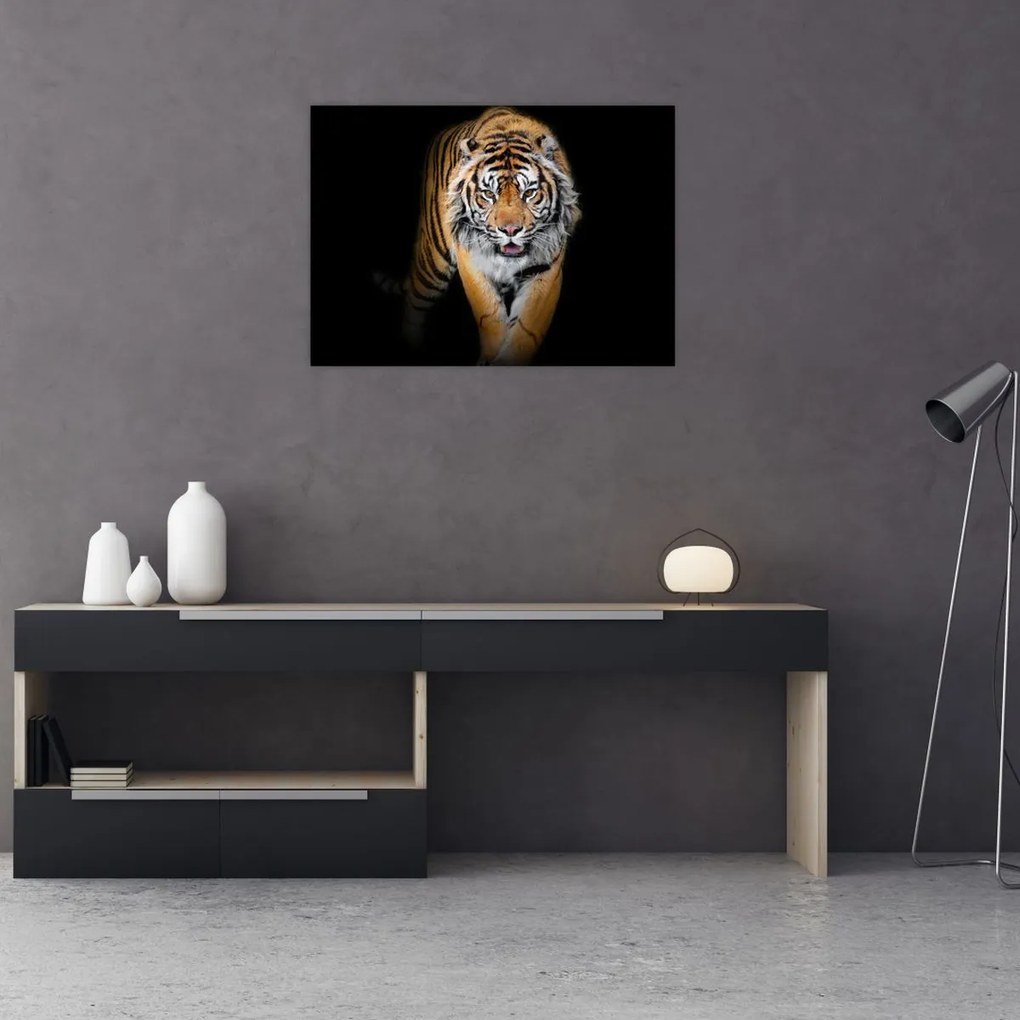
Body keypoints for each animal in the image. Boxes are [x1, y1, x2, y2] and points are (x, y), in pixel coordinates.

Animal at [398, 107, 581, 365]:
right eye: (488, 194)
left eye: (529, 193)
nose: (510, 230)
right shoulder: (471, 260)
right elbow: (490, 315)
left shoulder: (546, 270)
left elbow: (526, 329)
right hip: (433, 262)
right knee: (415, 302)